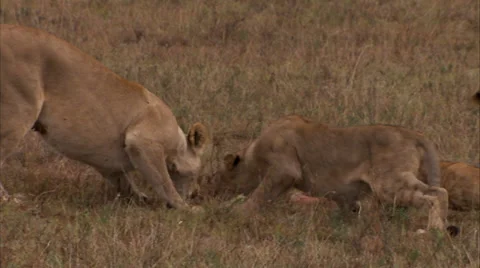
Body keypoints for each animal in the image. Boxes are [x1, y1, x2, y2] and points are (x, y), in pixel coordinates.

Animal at [0, 24, 209, 211]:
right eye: (197, 172)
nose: (196, 193)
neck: (177, 143)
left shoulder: (110, 165)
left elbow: (126, 184)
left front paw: (142, 200)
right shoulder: (142, 141)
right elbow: (164, 181)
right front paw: (187, 208)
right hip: (18, 112)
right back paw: (11, 201)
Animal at [216, 114, 456, 232]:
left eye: (218, 177)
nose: (211, 193)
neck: (252, 152)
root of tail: (415, 134)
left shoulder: (284, 170)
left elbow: (260, 195)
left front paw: (238, 213)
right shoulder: (344, 195)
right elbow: (349, 209)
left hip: (389, 184)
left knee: (438, 193)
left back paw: (434, 230)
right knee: (438, 191)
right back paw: (441, 228)